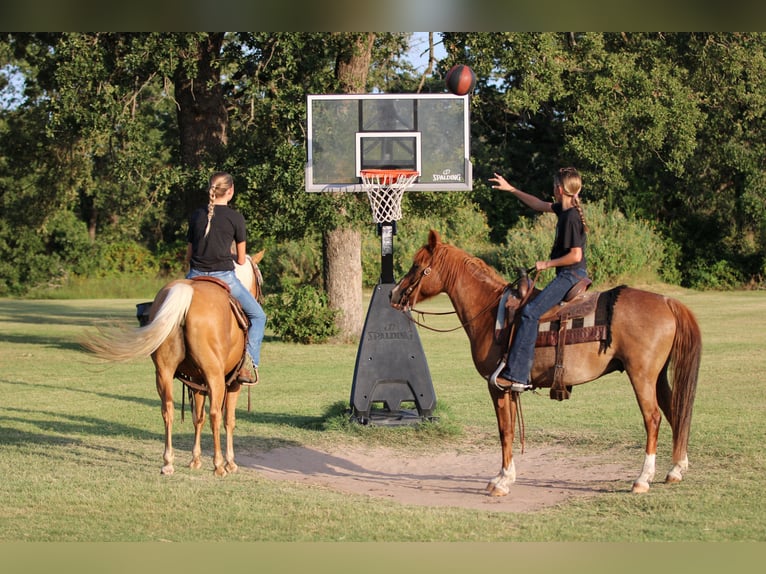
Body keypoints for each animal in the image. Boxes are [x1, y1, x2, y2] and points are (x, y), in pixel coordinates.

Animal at [82, 251, 264, 477]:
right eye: (261, 280)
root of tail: (187, 293)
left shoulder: (197, 383)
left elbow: (198, 417)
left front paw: (195, 460)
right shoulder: (233, 384)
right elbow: (228, 420)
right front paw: (230, 462)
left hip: (164, 372)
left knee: (167, 409)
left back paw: (168, 462)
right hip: (214, 376)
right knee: (215, 414)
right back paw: (219, 465)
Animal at [390, 230, 701, 496]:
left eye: (417, 265)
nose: (393, 293)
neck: (490, 312)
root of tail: (667, 301)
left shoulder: (496, 386)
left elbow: (505, 431)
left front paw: (502, 481)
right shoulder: (509, 389)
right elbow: (509, 429)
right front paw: (503, 476)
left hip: (641, 375)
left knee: (653, 418)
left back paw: (642, 479)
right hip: (658, 377)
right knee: (675, 410)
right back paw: (676, 469)